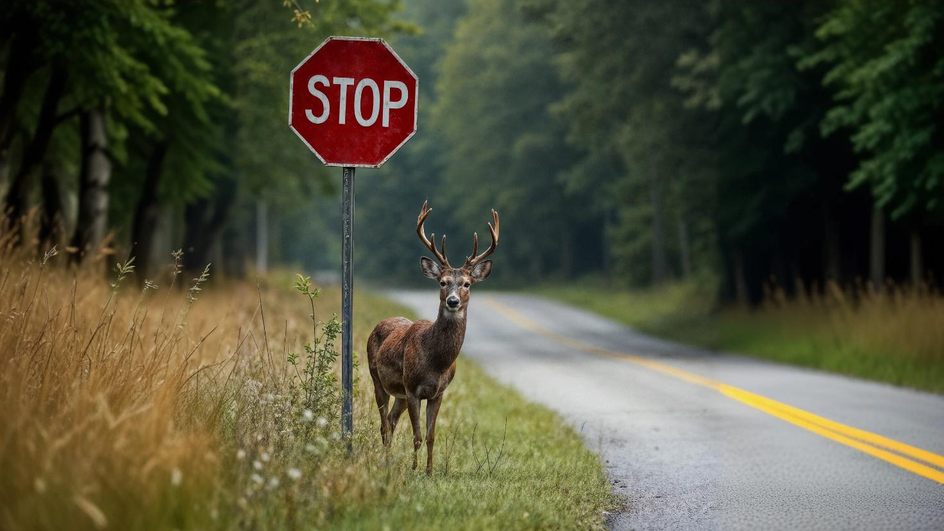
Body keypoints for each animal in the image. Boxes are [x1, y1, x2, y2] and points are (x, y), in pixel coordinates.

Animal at [368, 202, 502, 476]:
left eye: (467, 284)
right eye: (442, 282)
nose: (453, 301)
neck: (436, 361)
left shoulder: (438, 392)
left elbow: (430, 436)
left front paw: (429, 471)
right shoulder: (412, 388)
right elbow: (417, 436)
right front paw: (414, 469)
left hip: (399, 393)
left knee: (391, 421)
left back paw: (389, 459)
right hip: (377, 377)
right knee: (384, 425)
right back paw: (385, 462)